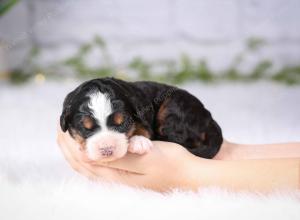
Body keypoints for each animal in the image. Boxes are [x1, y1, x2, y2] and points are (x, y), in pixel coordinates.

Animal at [59, 77, 223, 162]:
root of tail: (209, 119)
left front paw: (138, 142)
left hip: (174, 107)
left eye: (122, 123)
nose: (107, 149)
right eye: (85, 127)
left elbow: (142, 129)